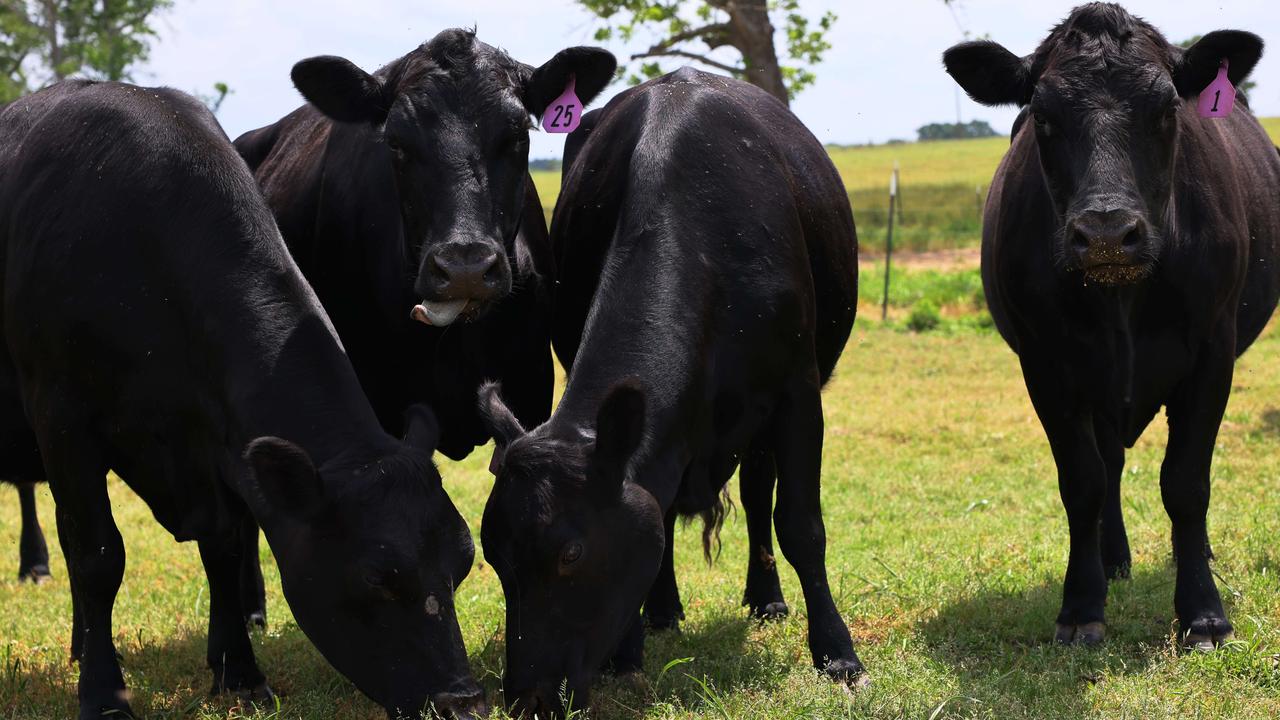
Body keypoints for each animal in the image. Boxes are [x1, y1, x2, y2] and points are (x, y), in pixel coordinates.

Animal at [0, 79, 486, 717]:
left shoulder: (221, 440)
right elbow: (97, 554)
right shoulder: (62, 417)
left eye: (463, 563)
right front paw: (105, 694)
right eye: (377, 576)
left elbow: (226, 548)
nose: (463, 701)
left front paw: (239, 672)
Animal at [481, 67, 870, 712]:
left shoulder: (798, 391)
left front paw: (837, 655)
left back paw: (766, 597)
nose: (528, 699)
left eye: (570, 553)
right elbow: (653, 516)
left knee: (760, 495)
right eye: (492, 555)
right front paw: (630, 652)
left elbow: (801, 523)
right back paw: (664, 612)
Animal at [942, 0, 1280, 648]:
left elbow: (1186, 483)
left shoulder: (1212, 352)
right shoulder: (1046, 365)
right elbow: (1083, 483)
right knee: (1110, 466)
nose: (1105, 233)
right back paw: (1112, 557)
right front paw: (1081, 606)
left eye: (1168, 108)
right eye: (1042, 115)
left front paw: (1203, 613)